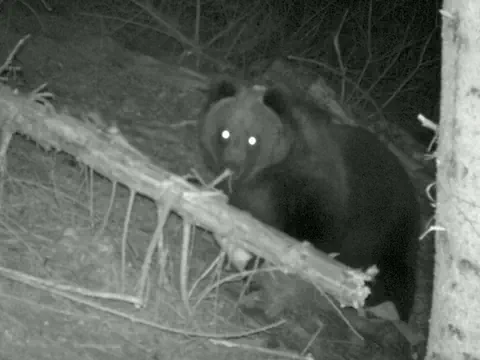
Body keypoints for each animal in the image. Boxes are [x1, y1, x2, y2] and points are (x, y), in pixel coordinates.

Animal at [195, 78, 420, 324]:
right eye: (224, 133)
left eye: (253, 139)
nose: (232, 167)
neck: (270, 174)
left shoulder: (314, 192)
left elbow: (314, 237)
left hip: (390, 229)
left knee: (399, 274)